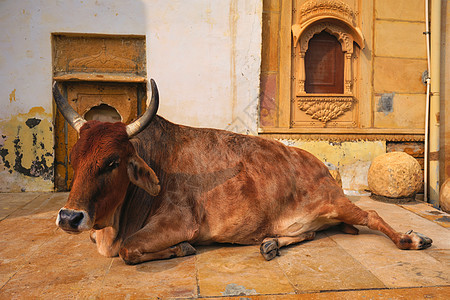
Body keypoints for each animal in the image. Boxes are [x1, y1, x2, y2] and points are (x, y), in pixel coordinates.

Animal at [53, 79, 432, 264]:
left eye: (113, 162)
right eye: (75, 156)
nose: (69, 217)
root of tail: (321, 166)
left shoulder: (179, 222)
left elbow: (129, 250)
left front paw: (183, 250)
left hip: (337, 203)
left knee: (371, 215)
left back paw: (412, 238)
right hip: (303, 219)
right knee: (309, 233)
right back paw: (270, 245)